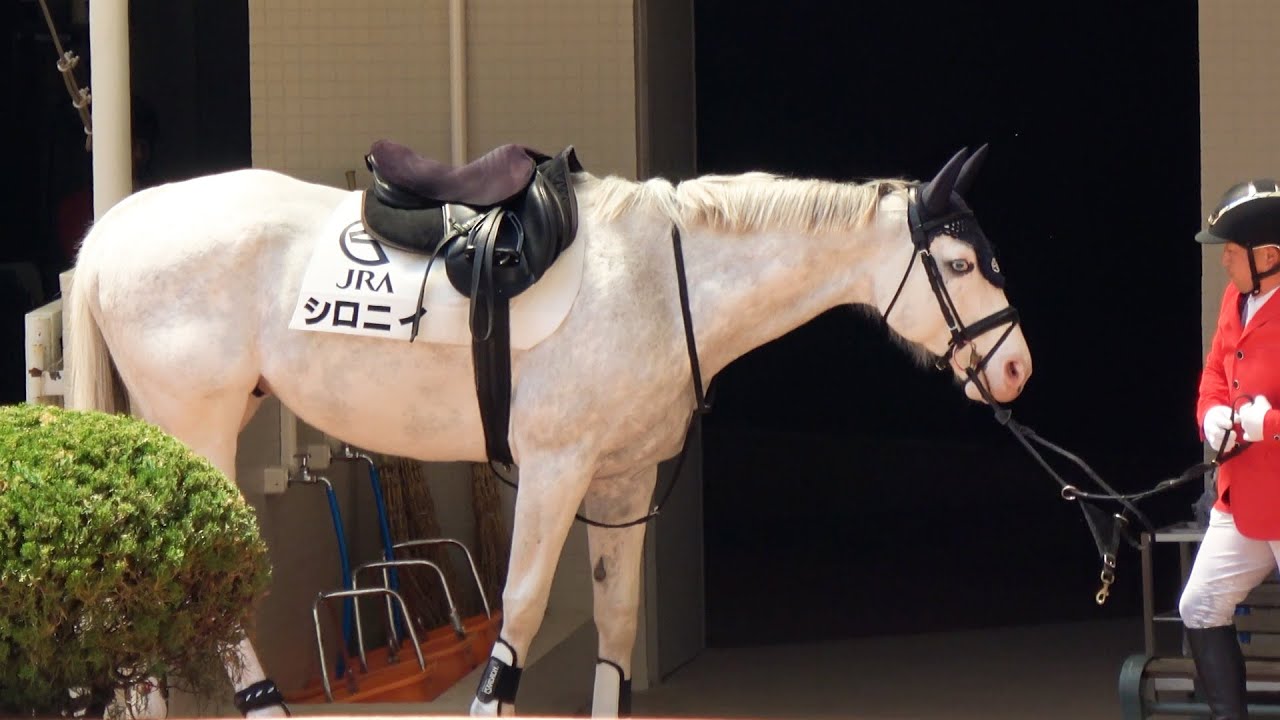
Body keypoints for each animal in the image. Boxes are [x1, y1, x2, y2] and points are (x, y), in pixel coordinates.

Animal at [64, 144, 1031, 717]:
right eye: (958, 263)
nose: (1017, 367)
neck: (660, 277)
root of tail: (113, 228)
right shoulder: (555, 472)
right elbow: (519, 618)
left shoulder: (622, 482)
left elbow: (615, 629)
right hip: (193, 434)